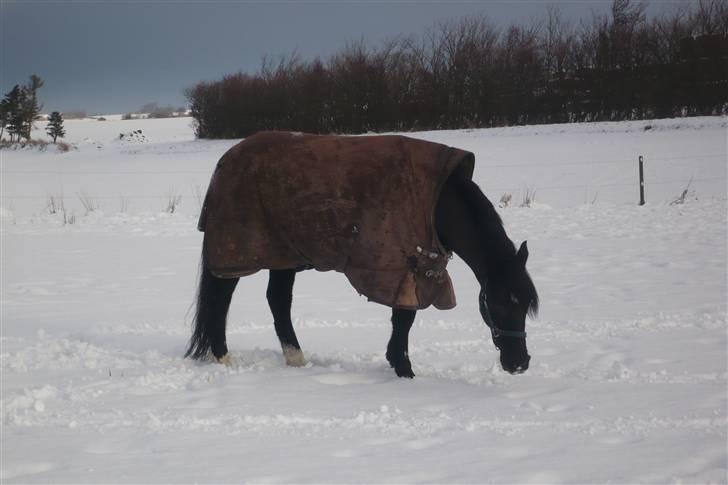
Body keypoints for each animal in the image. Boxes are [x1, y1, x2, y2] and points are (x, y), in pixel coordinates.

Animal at [185, 131, 536, 378]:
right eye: (499, 303)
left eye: (527, 305)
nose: (519, 364)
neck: (437, 200)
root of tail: (227, 160)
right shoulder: (400, 267)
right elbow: (404, 318)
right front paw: (403, 368)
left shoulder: (415, 267)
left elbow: (403, 318)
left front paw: (400, 364)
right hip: (238, 254)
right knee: (221, 299)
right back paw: (224, 357)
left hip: (284, 256)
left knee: (278, 300)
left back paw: (296, 359)